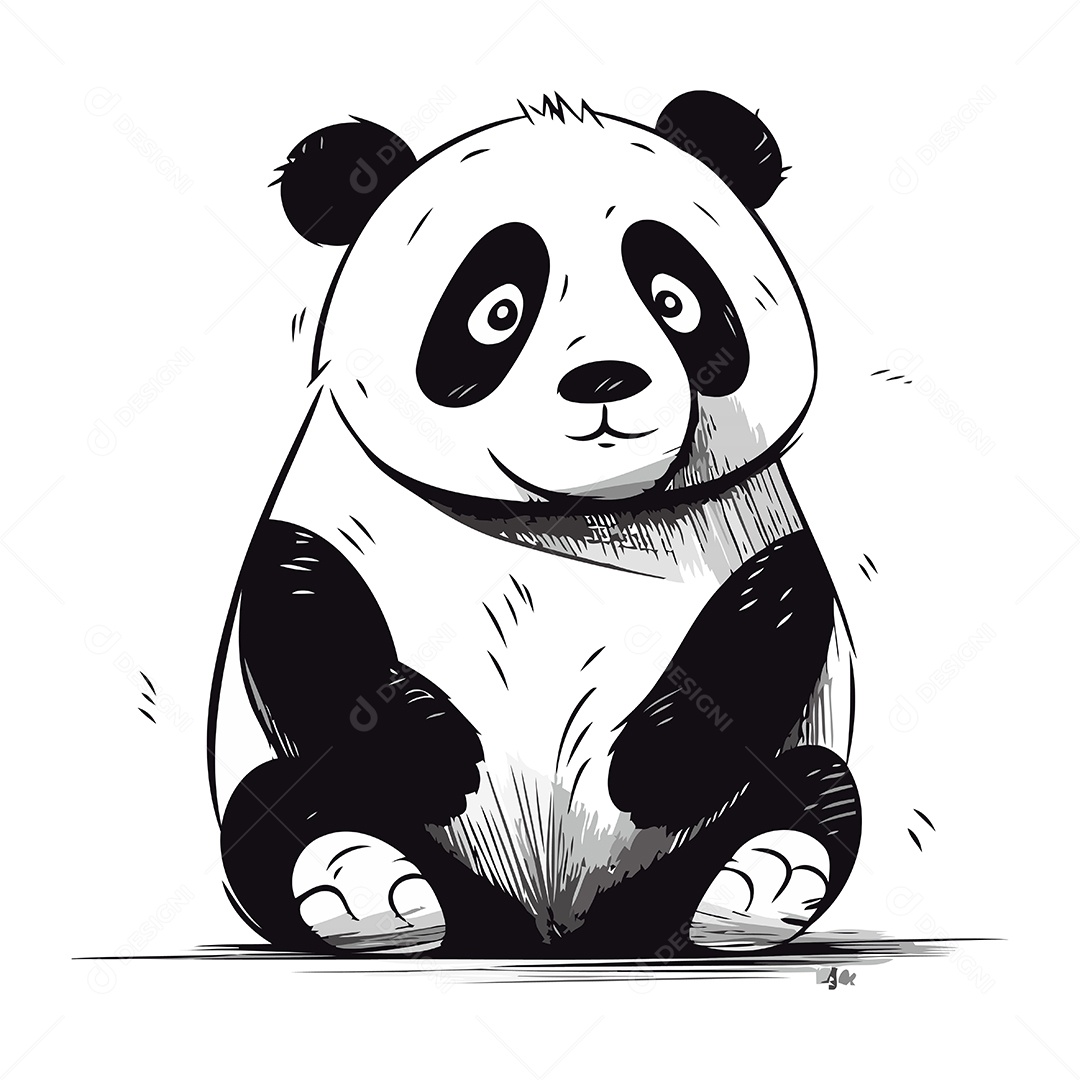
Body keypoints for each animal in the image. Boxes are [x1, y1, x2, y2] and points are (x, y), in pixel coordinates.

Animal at [208, 91, 861, 958]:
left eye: (674, 298)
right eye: (497, 312)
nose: (606, 380)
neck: (572, 517)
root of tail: (550, 929)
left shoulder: (743, 516)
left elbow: (774, 618)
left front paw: (646, 762)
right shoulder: (347, 505)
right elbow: (304, 613)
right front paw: (440, 752)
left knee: (816, 791)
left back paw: (756, 882)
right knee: (274, 809)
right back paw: (368, 887)